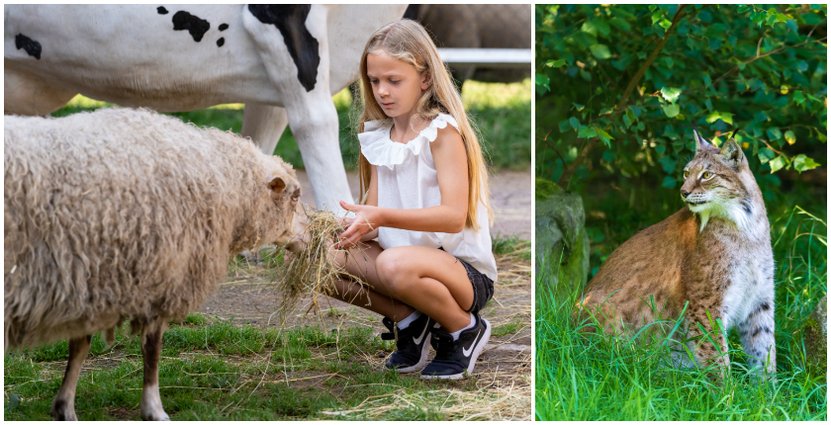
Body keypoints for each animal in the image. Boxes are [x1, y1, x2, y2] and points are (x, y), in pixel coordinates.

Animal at [6, 107, 306, 420]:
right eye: (295, 196)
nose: (311, 235)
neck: (222, 183)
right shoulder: (160, 280)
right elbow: (151, 350)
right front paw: (153, 408)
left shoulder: (93, 281)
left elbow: (80, 346)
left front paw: (64, 407)